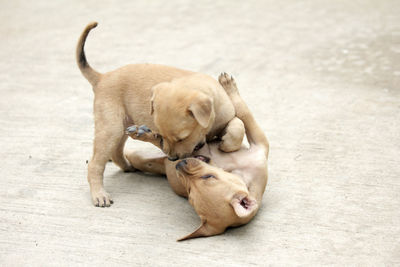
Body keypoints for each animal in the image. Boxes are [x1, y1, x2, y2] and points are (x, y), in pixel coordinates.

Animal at [75, 22, 244, 207]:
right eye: (163, 135)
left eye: (182, 138)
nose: (172, 159)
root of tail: (103, 77)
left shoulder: (227, 118)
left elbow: (238, 126)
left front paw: (227, 144)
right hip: (110, 128)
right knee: (95, 164)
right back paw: (99, 194)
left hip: (123, 126)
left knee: (116, 151)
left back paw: (128, 166)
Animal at [125, 74, 268, 242]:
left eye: (189, 193)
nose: (179, 164)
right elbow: (243, 113)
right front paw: (228, 85)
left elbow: (242, 114)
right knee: (159, 141)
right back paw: (139, 133)